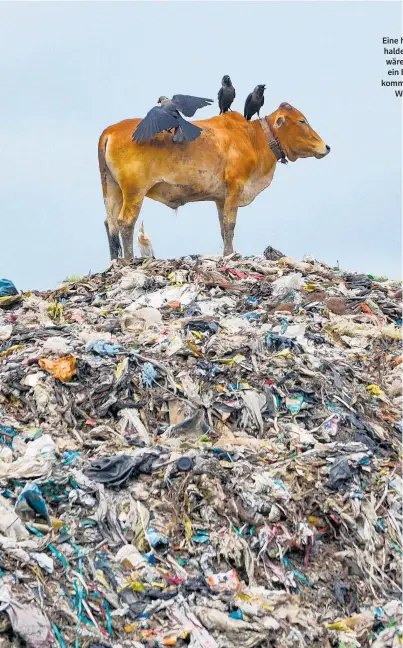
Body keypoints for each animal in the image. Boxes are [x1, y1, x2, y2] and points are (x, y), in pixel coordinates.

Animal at [98, 102, 332, 260]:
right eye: (302, 121)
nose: (326, 146)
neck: (253, 138)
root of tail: (110, 130)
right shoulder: (236, 185)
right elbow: (230, 224)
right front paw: (230, 255)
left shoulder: (221, 197)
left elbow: (222, 226)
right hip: (134, 191)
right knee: (125, 222)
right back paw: (129, 260)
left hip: (112, 190)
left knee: (110, 223)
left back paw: (115, 261)